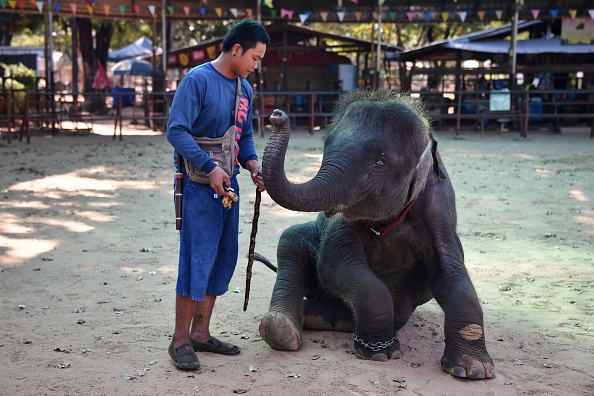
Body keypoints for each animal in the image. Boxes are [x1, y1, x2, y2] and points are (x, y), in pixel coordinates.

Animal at [256, 88, 492, 378]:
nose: (277, 116)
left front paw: (473, 370)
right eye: (325, 148)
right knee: (289, 239)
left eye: (380, 162)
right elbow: (335, 262)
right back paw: (281, 328)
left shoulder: (441, 210)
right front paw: (380, 353)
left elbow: (450, 270)